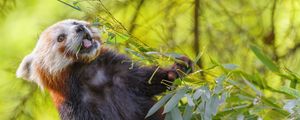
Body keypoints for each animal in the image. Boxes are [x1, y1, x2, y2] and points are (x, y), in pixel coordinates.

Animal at [16, 19, 192, 119]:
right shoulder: (78, 109)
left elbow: (147, 80)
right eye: (60, 38)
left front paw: (176, 69)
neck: (92, 77)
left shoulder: (122, 74)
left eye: (74, 23)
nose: (80, 28)